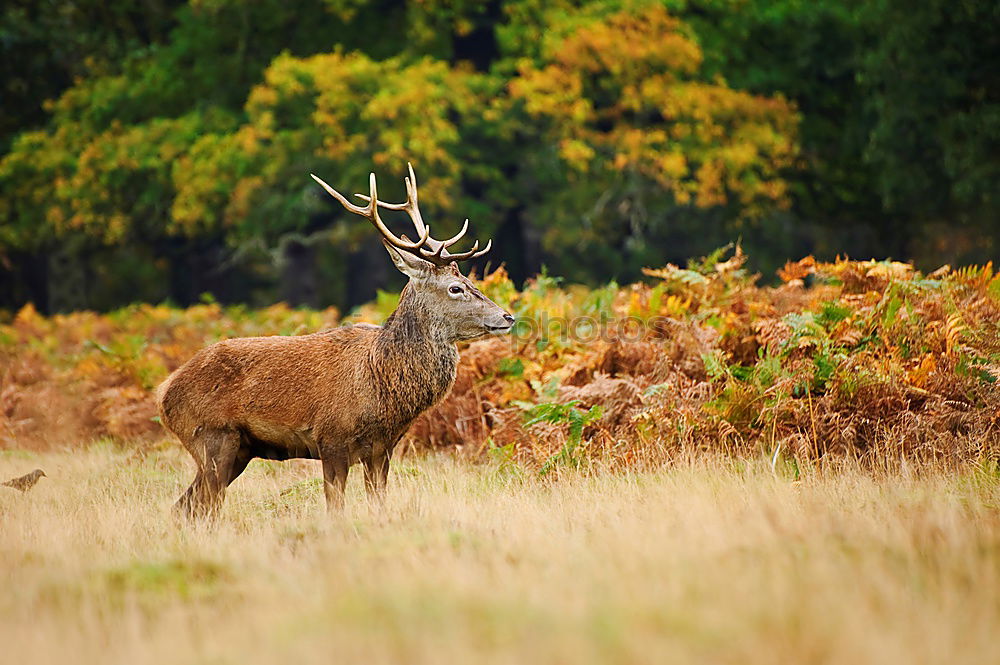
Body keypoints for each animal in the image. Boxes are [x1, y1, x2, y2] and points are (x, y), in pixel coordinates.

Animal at [158, 163, 516, 516]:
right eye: (455, 288)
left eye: (470, 281)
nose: (507, 317)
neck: (382, 387)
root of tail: (164, 392)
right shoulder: (331, 439)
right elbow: (335, 508)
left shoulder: (383, 449)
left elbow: (378, 504)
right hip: (212, 438)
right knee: (199, 504)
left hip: (238, 452)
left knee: (185, 506)